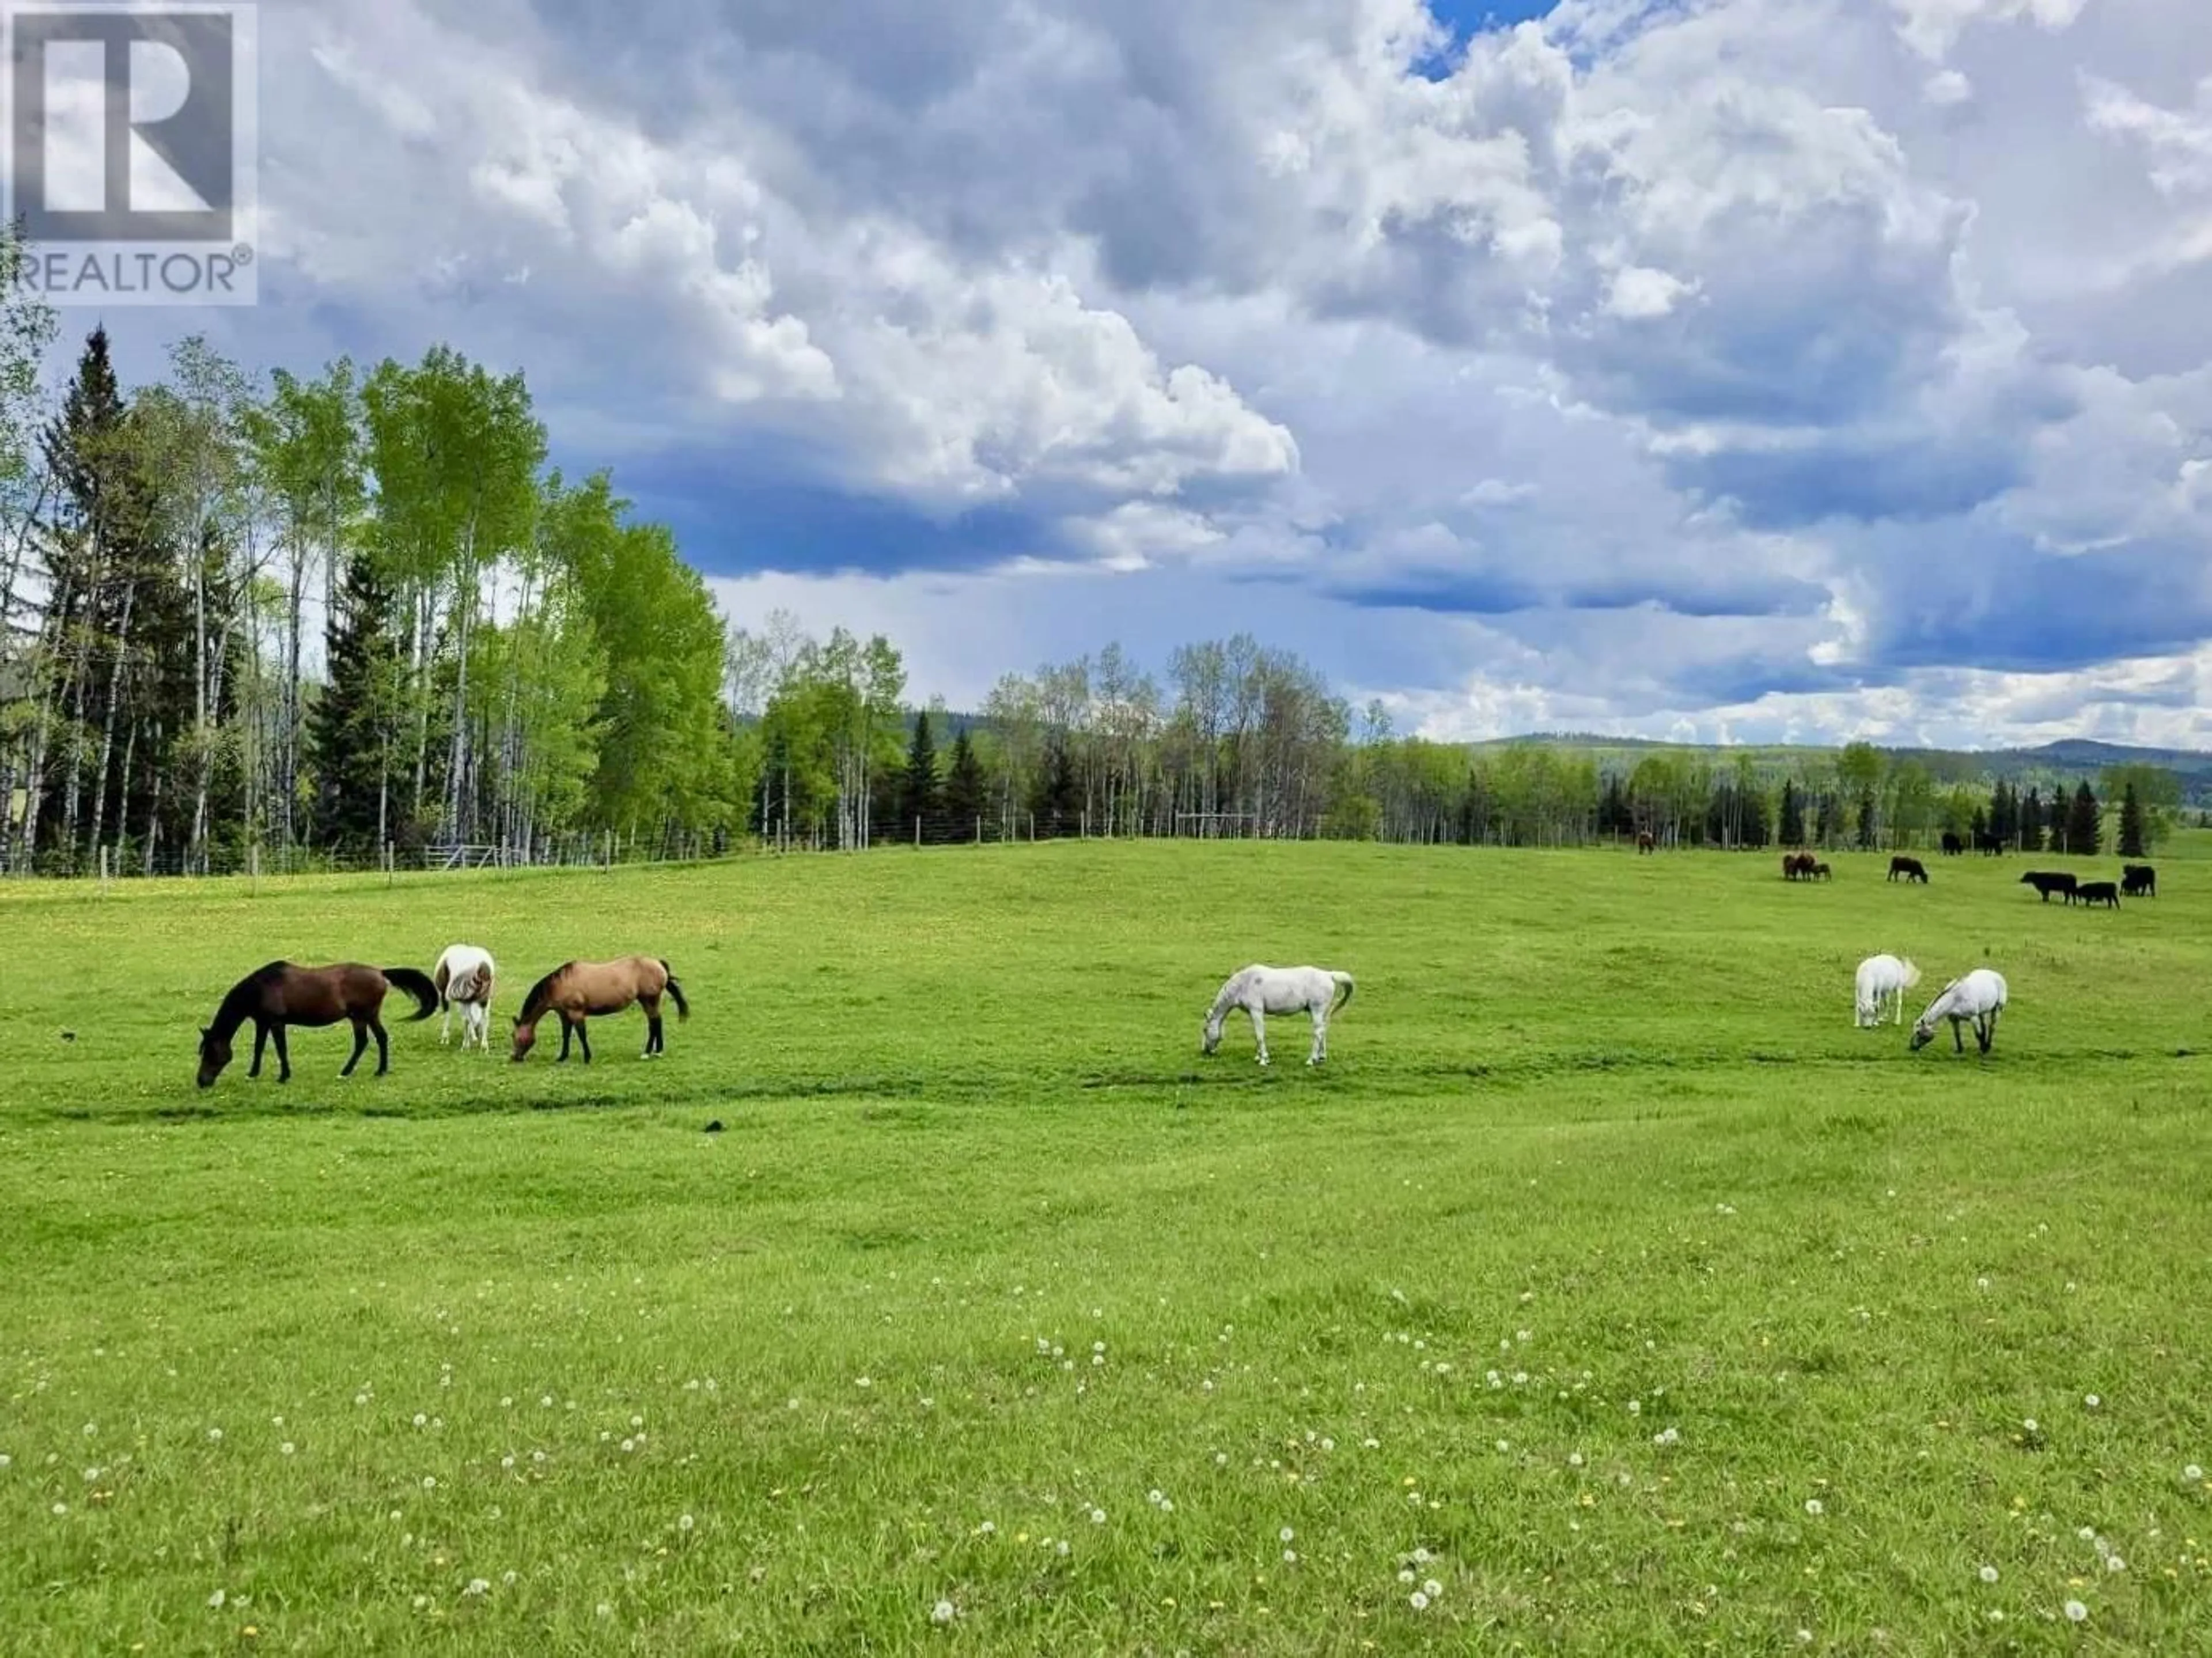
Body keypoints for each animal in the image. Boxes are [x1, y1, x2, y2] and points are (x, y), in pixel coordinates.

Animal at [199, 959, 440, 1092]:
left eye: (210, 1053)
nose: (201, 1082)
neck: (262, 988)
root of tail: (380, 973)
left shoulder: (277, 1023)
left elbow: (281, 1049)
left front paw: (283, 1076)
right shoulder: (263, 1022)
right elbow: (258, 1048)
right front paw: (253, 1074)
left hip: (361, 1017)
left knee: (363, 1042)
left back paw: (346, 1072)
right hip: (368, 1016)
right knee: (381, 1038)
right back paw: (379, 1071)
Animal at [429, 946, 495, 1052]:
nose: (478, 1033)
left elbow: (466, 1018)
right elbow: (474, 1018)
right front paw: (475, 1040)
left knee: (456, 1016)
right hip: (482, 997)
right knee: (482, 1017)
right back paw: (482, 1046)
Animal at [513, 959, 685, 1065]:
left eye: (514, 1036)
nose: (514, 1057)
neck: (560, 985)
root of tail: (658, 963)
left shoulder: (576, 1013)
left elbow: (582, 1035)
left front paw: (587, 1058)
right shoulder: (564, 1015)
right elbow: (566, 1035)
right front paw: (562, 1057)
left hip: (650, 1000)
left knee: (654, 1023)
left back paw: (648, 1053)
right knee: (657, 1022)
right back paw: (657, 1052)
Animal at [1203, 968, 1354, 1069]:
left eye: (1205, 1030)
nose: (1206, 1051)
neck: (1245, 983)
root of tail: (1329, 975)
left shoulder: (1257, 1011)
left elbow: (1260, 1035)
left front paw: (1264, 1060)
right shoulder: (1253, 1013)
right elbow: (1256, 1036)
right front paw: (1259, 1057)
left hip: (1317, 1010)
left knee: (1317, 1033)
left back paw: (1311, 1060)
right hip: (1320, 1012)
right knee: (1323, 1031)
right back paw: (1321, 1057)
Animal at [1911, 968, 2017, 1056]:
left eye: (1919, 1032)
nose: (1912, 1047)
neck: (1956, 998)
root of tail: (1996, 974)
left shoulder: (1973, 1018)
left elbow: (1978, 1035)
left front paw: (1983, 1050)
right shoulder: (1954, 1019)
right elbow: (1957, 1033)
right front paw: (1960, 1050)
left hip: (1997, 1008)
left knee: (1992, 1027)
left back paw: (1987, 1046)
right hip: (1981, 1012)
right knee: (1984, 1027)